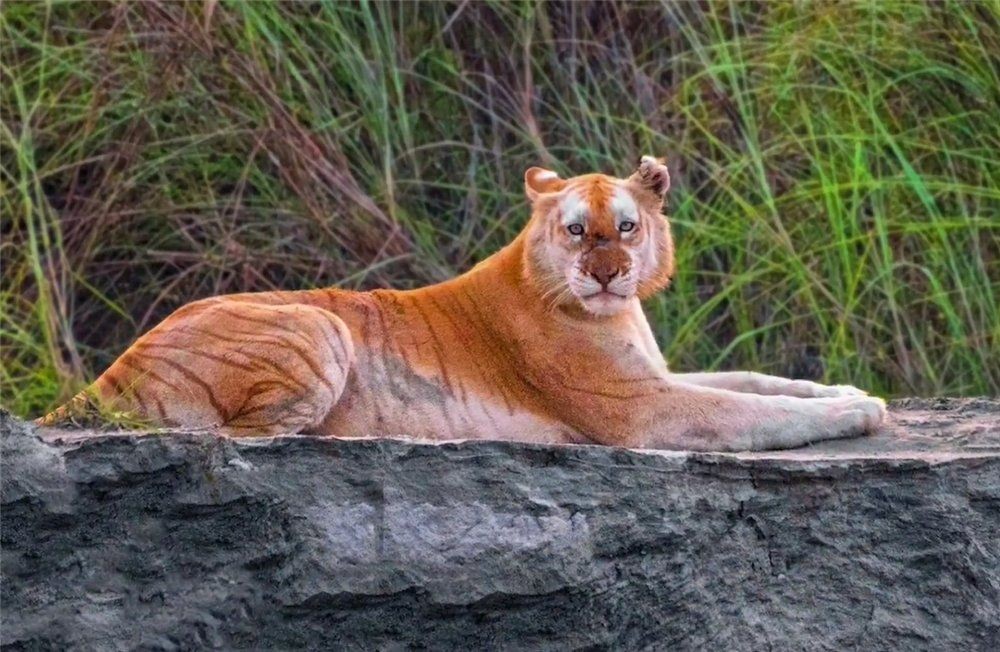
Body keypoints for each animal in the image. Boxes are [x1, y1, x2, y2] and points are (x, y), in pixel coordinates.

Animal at [37, 156, 885, 451]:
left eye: (627, 226)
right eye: (576, 230)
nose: (607, 274)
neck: (615, 313)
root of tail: (109, 371)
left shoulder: (657, 375)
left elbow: (760, 381)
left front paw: (847, 389)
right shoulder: (640, 409)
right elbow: (753, 411)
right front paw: (857, 412)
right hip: (321, 324)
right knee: (248, 437)